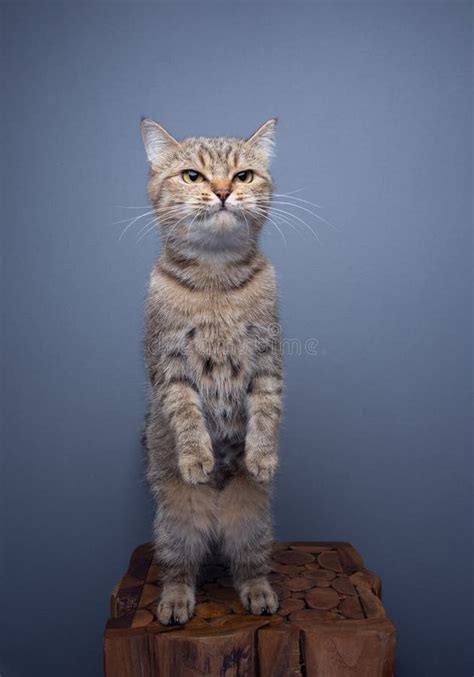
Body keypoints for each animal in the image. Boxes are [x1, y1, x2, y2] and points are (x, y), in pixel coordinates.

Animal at [140, 117, 282, 624]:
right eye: (192, 176)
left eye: (243, 176)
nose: (222, 191)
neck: (215, 278)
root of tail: (219, 513)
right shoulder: (169, 368)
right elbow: (186, 415)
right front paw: (197, 456)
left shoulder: (268, 362)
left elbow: (266, 412)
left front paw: (262, 456)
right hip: (177, 521)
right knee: (179, 566)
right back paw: (175, 602)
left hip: (251, 520)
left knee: (248, 562)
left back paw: (258, 593)